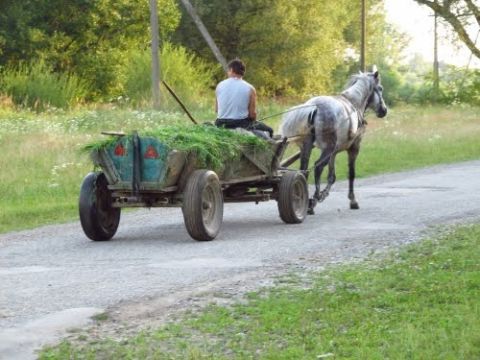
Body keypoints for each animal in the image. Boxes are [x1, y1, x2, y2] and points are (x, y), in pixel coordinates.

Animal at [280, 69, 388, 214]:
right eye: (380, 88)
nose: (384, 110)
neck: (354, 103)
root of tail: (314, 107)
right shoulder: (354, 147)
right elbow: (351, 173)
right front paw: (353, 200)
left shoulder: (334, 152)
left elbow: (332, 176)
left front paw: (325, 193)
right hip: (327, 148)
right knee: (318, 167)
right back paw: (312, 201)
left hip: (308, 147)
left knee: (304, 169)